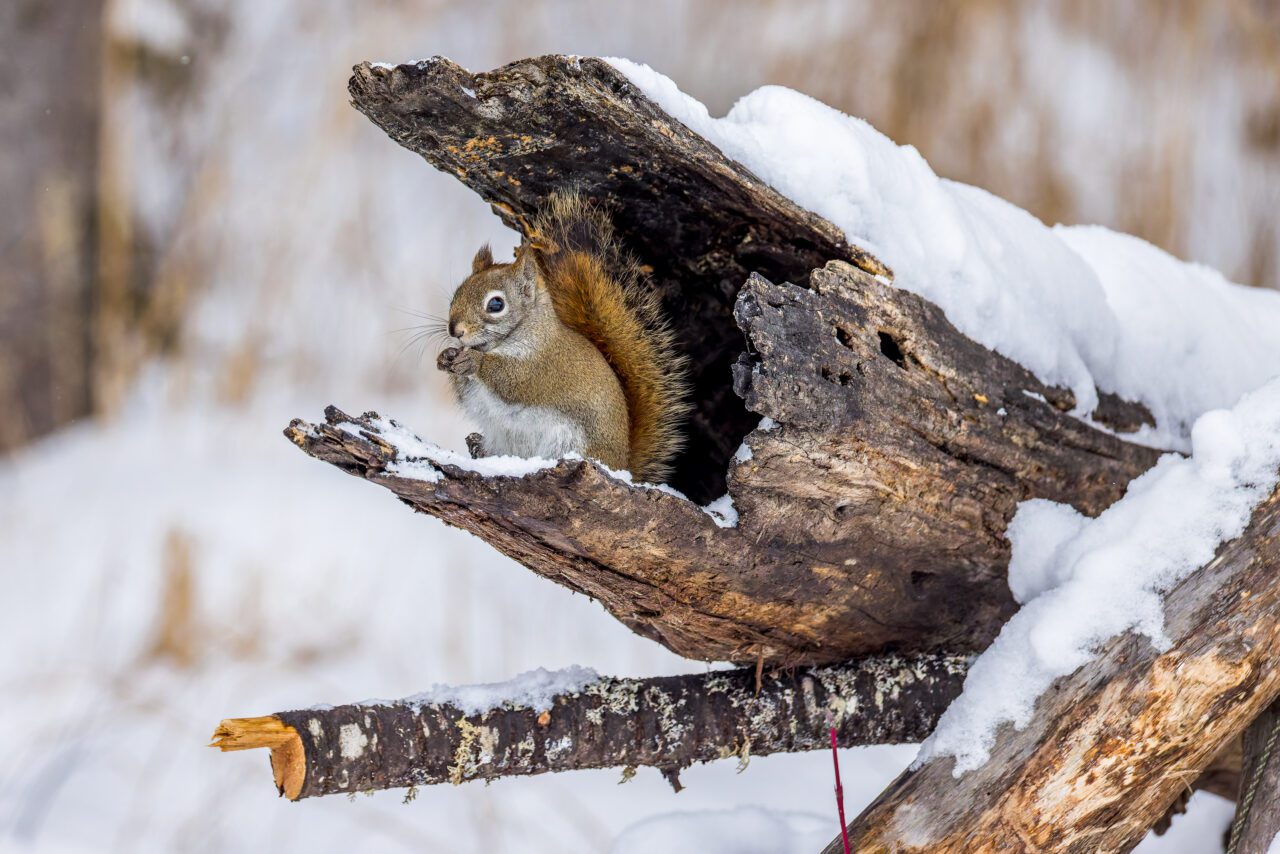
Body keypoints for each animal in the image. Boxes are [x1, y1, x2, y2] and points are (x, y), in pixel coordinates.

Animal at [436, 193, 690, 483]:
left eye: (496, 304)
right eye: (458, 292)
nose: (455, 330)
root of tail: (623, 468)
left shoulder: (542, 367)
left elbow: (513, 380)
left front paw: (474, 363)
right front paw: (446, 357)